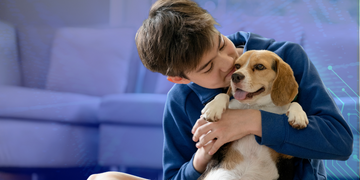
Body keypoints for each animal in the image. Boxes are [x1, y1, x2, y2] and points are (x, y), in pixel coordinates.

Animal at [198, 49, 308, 180]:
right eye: (237, 66)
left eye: (260, 66)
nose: (235, 76)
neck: (257, 106)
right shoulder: (218, 141)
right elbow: (223, 95)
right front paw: (213, 107)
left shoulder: (287, 154)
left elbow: (294, 103)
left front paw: (298, 116)